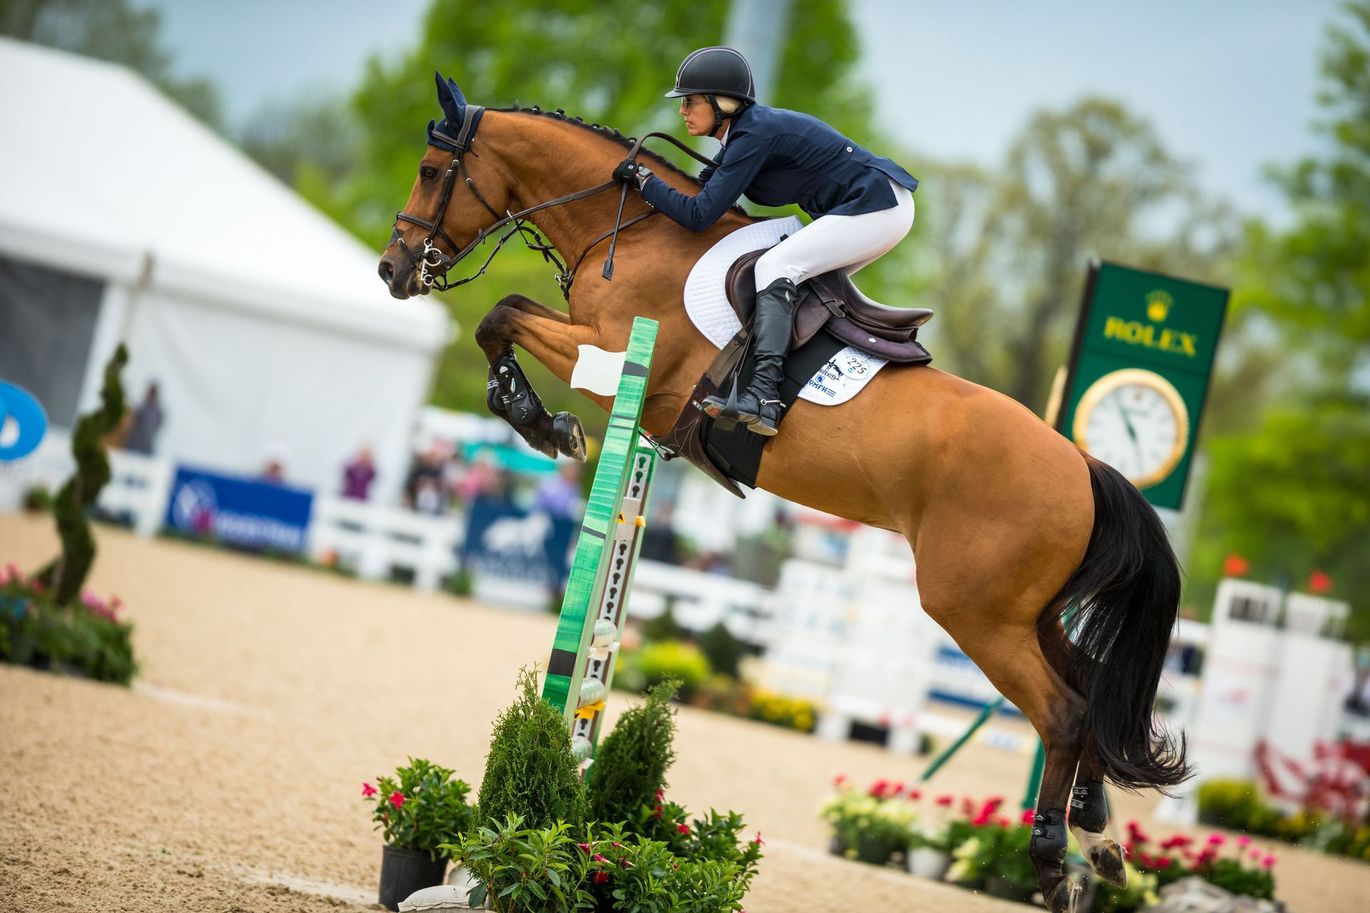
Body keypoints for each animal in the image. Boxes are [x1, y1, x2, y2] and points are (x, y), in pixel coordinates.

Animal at [378, 72, 1189, 910]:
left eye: (432, 171)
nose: (393, 269)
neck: (631, 231)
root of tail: (1084, 467)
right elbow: (503, 317)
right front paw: (539, 418)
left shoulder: (611, 356)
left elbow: (499, 314)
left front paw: (543, 423)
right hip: (1028, 611)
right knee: (1090, 692)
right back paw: (1102, 840)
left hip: (975, 611)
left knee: (1062, 712)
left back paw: (1054, 861)